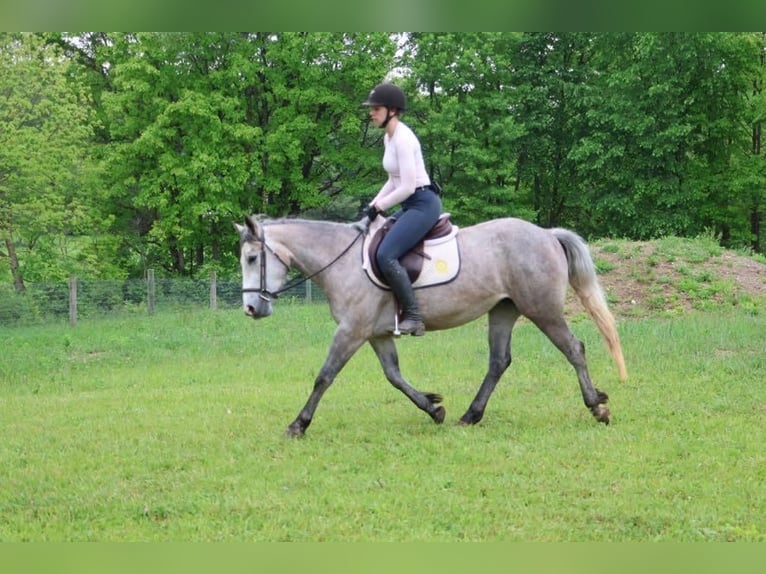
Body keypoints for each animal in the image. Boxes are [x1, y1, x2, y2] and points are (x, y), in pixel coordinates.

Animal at [234, 214, 627, 438]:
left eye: (252, 258)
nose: (251, 309)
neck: (342, 261)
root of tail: (546, 234)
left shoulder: (351, 331)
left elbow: (324, 377)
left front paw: (299, 424)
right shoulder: (376, 334)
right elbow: (394, 376)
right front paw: (433, 407)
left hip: (542, 310)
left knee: (573, 349)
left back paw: (597, 406)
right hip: (503, 311)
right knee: (498, 362)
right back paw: (470, 415)